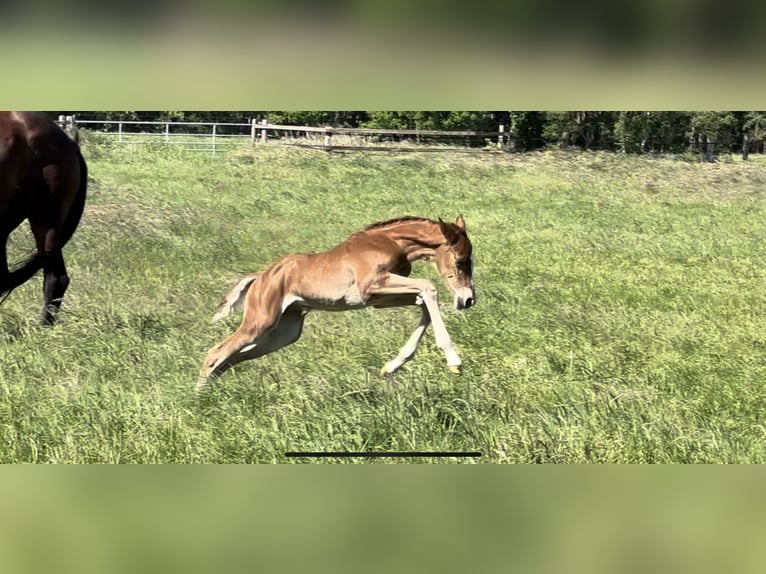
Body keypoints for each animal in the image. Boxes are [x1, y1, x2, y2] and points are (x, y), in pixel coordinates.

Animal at [198, 217, 474, 392]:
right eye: (461, 260)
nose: (468, 299)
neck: (391, 242)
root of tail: (260, 278)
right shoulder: (371, 286)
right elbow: (428, 287)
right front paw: (454, 361)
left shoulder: (379, 299)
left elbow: (423, 302)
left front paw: (391, 367)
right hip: (260, 322)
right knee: (216, 353)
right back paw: (201, 399)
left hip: (284, 332)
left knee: (232, 357)